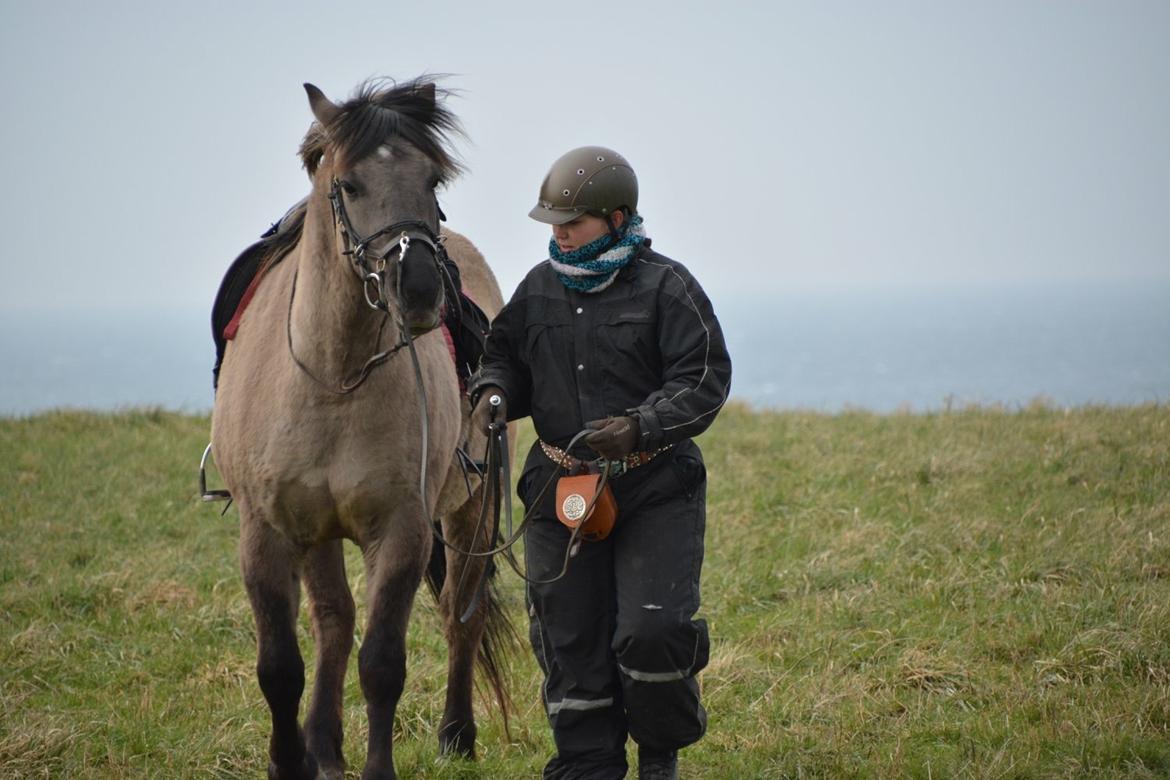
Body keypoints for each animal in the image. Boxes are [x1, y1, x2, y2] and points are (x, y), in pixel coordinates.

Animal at [214, 77, 512, 780]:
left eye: (433, 179)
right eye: (348, 185)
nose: (420, 289)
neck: (333, 376)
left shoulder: (402, 532)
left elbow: (382, 665)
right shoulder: (268, 532)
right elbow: (280, 666)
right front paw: (291, 762)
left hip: (472, 511)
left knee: (460, 614)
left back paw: (456, 736)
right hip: (319, 533)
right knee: (334, 620)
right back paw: (324, 745)